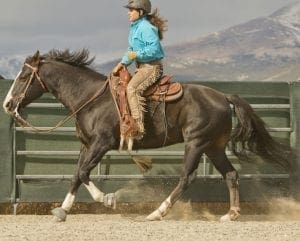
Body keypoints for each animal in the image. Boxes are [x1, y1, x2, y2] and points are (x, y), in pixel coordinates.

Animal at [2, 49, 296, 222]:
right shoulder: (86, 145)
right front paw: (62, 210)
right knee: (231, 175)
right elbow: (76, 174)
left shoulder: (101, 144)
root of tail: (223, 97)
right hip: (214, 147)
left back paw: (157, 212)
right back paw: (231, 214)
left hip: (196, 143)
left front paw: (108, 199)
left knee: (187, 177)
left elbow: (84, 173)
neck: (90, 98)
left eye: (24, 76)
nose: (7, 104)